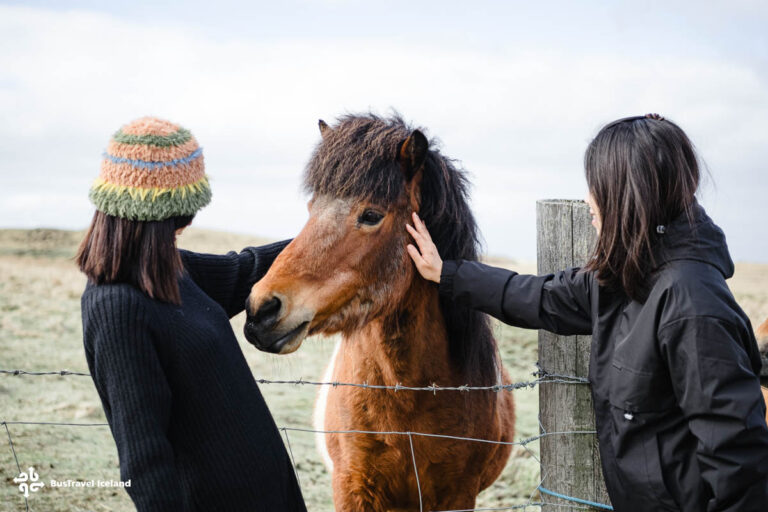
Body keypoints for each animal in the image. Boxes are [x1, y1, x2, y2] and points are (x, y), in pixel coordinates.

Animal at [243, 114, 515, 511]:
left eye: (371, 215)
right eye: (312, 209)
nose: (260, 310)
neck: (407, 402)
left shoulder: (458, 495)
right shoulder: (352, 488)